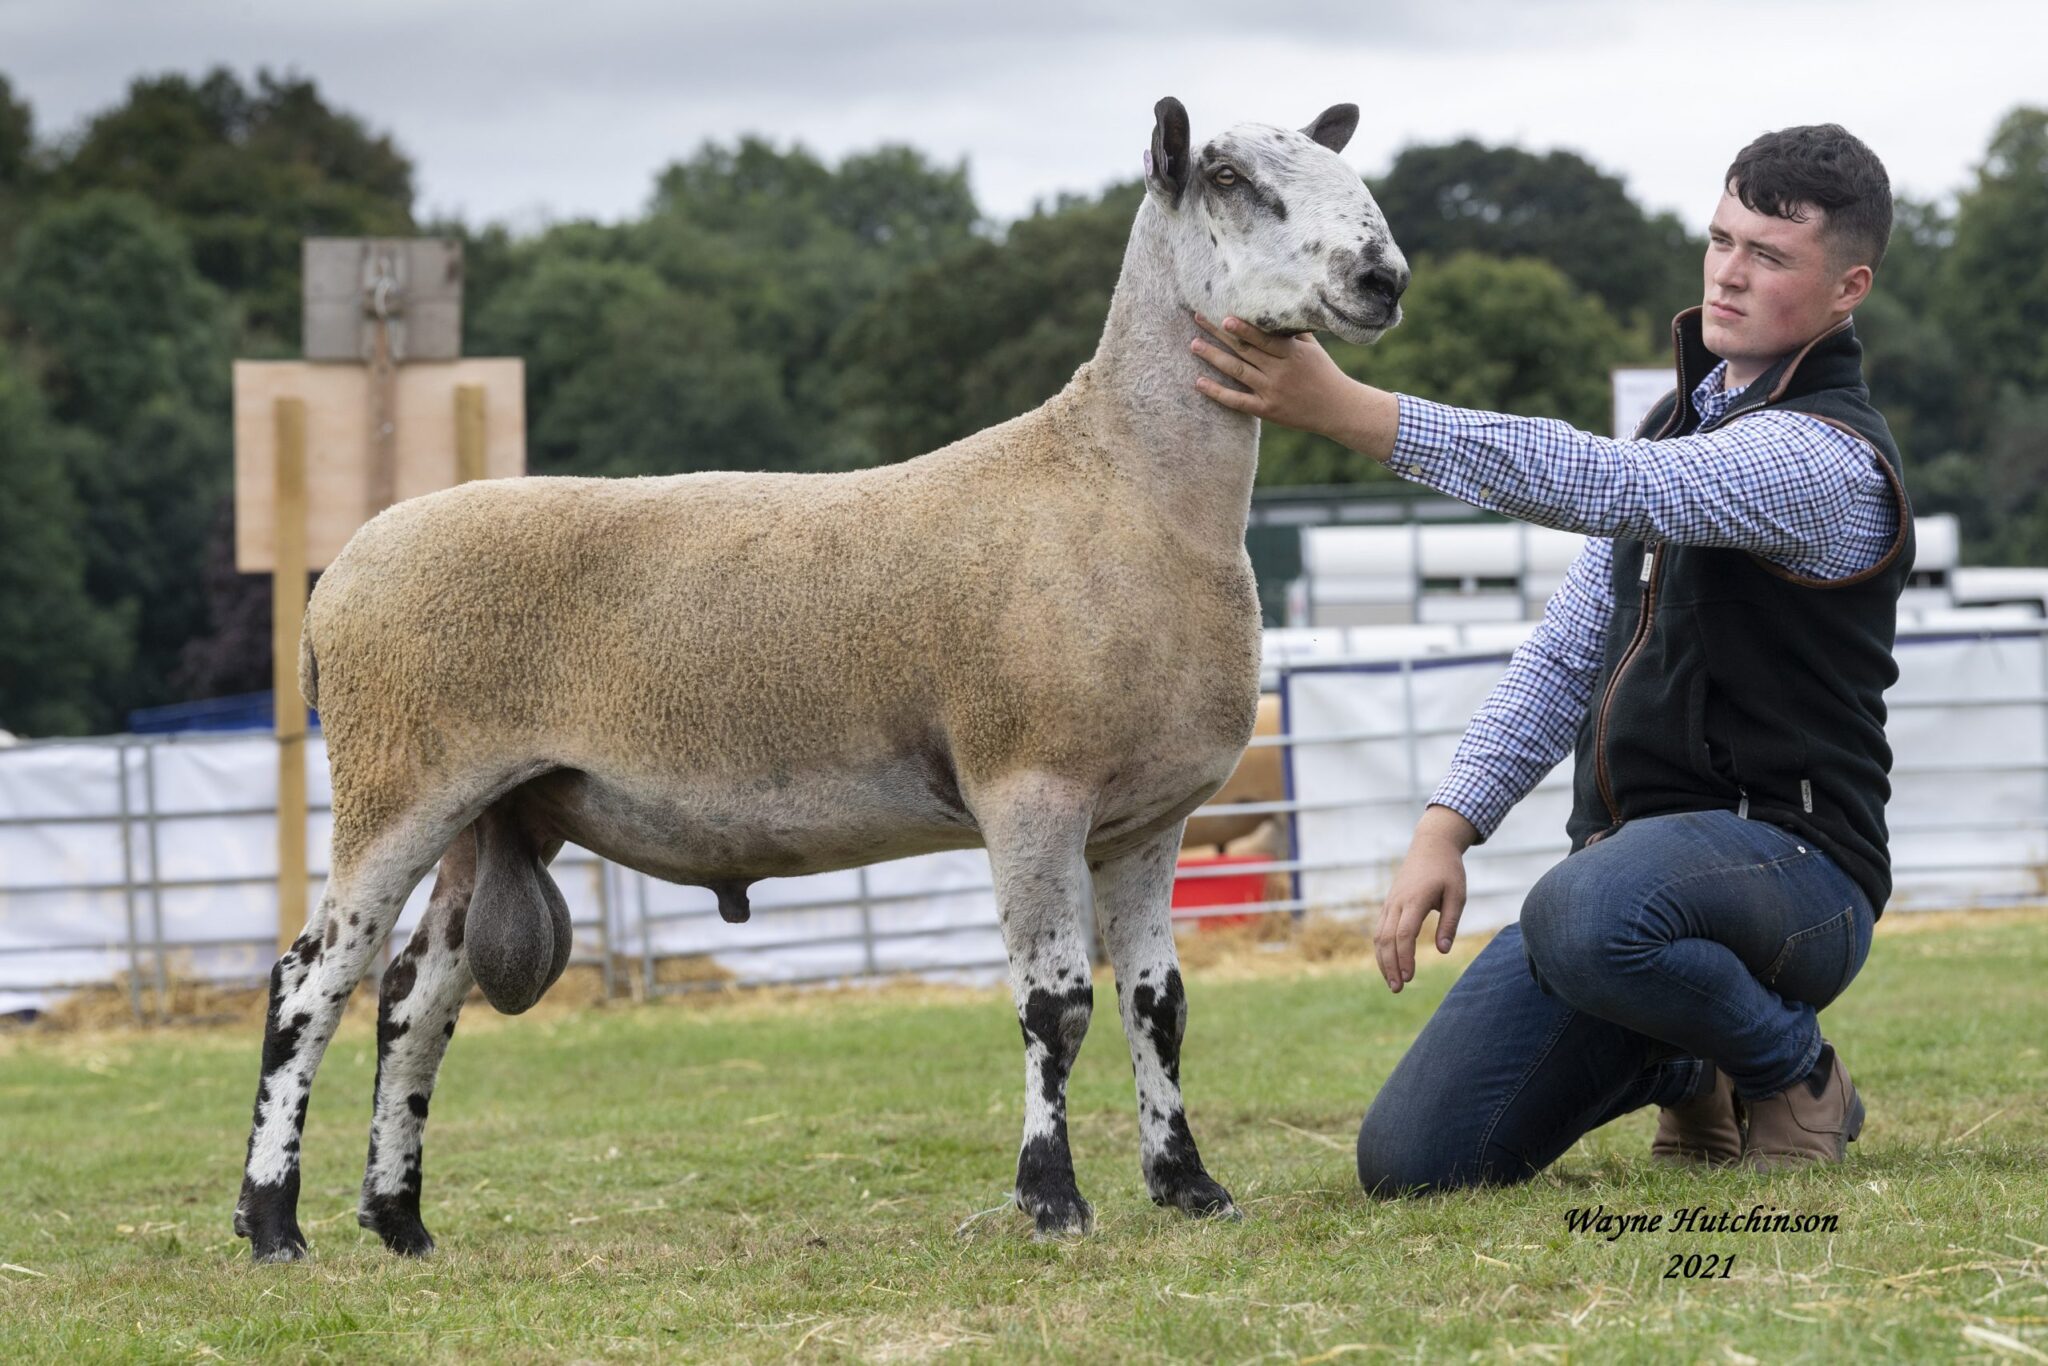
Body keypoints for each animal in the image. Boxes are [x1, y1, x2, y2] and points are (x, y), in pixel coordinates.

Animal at [228, 96, 1409, 1269]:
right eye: (1227, 177)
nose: (1383, 275)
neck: (1120, 485)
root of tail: (336, 583)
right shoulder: (1028, 790)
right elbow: (1056, 1006)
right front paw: (1051, 1199)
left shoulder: (1149, 817)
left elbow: (1157, 1006)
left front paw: (1188, 1185)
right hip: (396, 779)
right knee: (311, 984)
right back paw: (272, 1221)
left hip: (497, 804)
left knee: (413, 1000)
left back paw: (399, 1220)